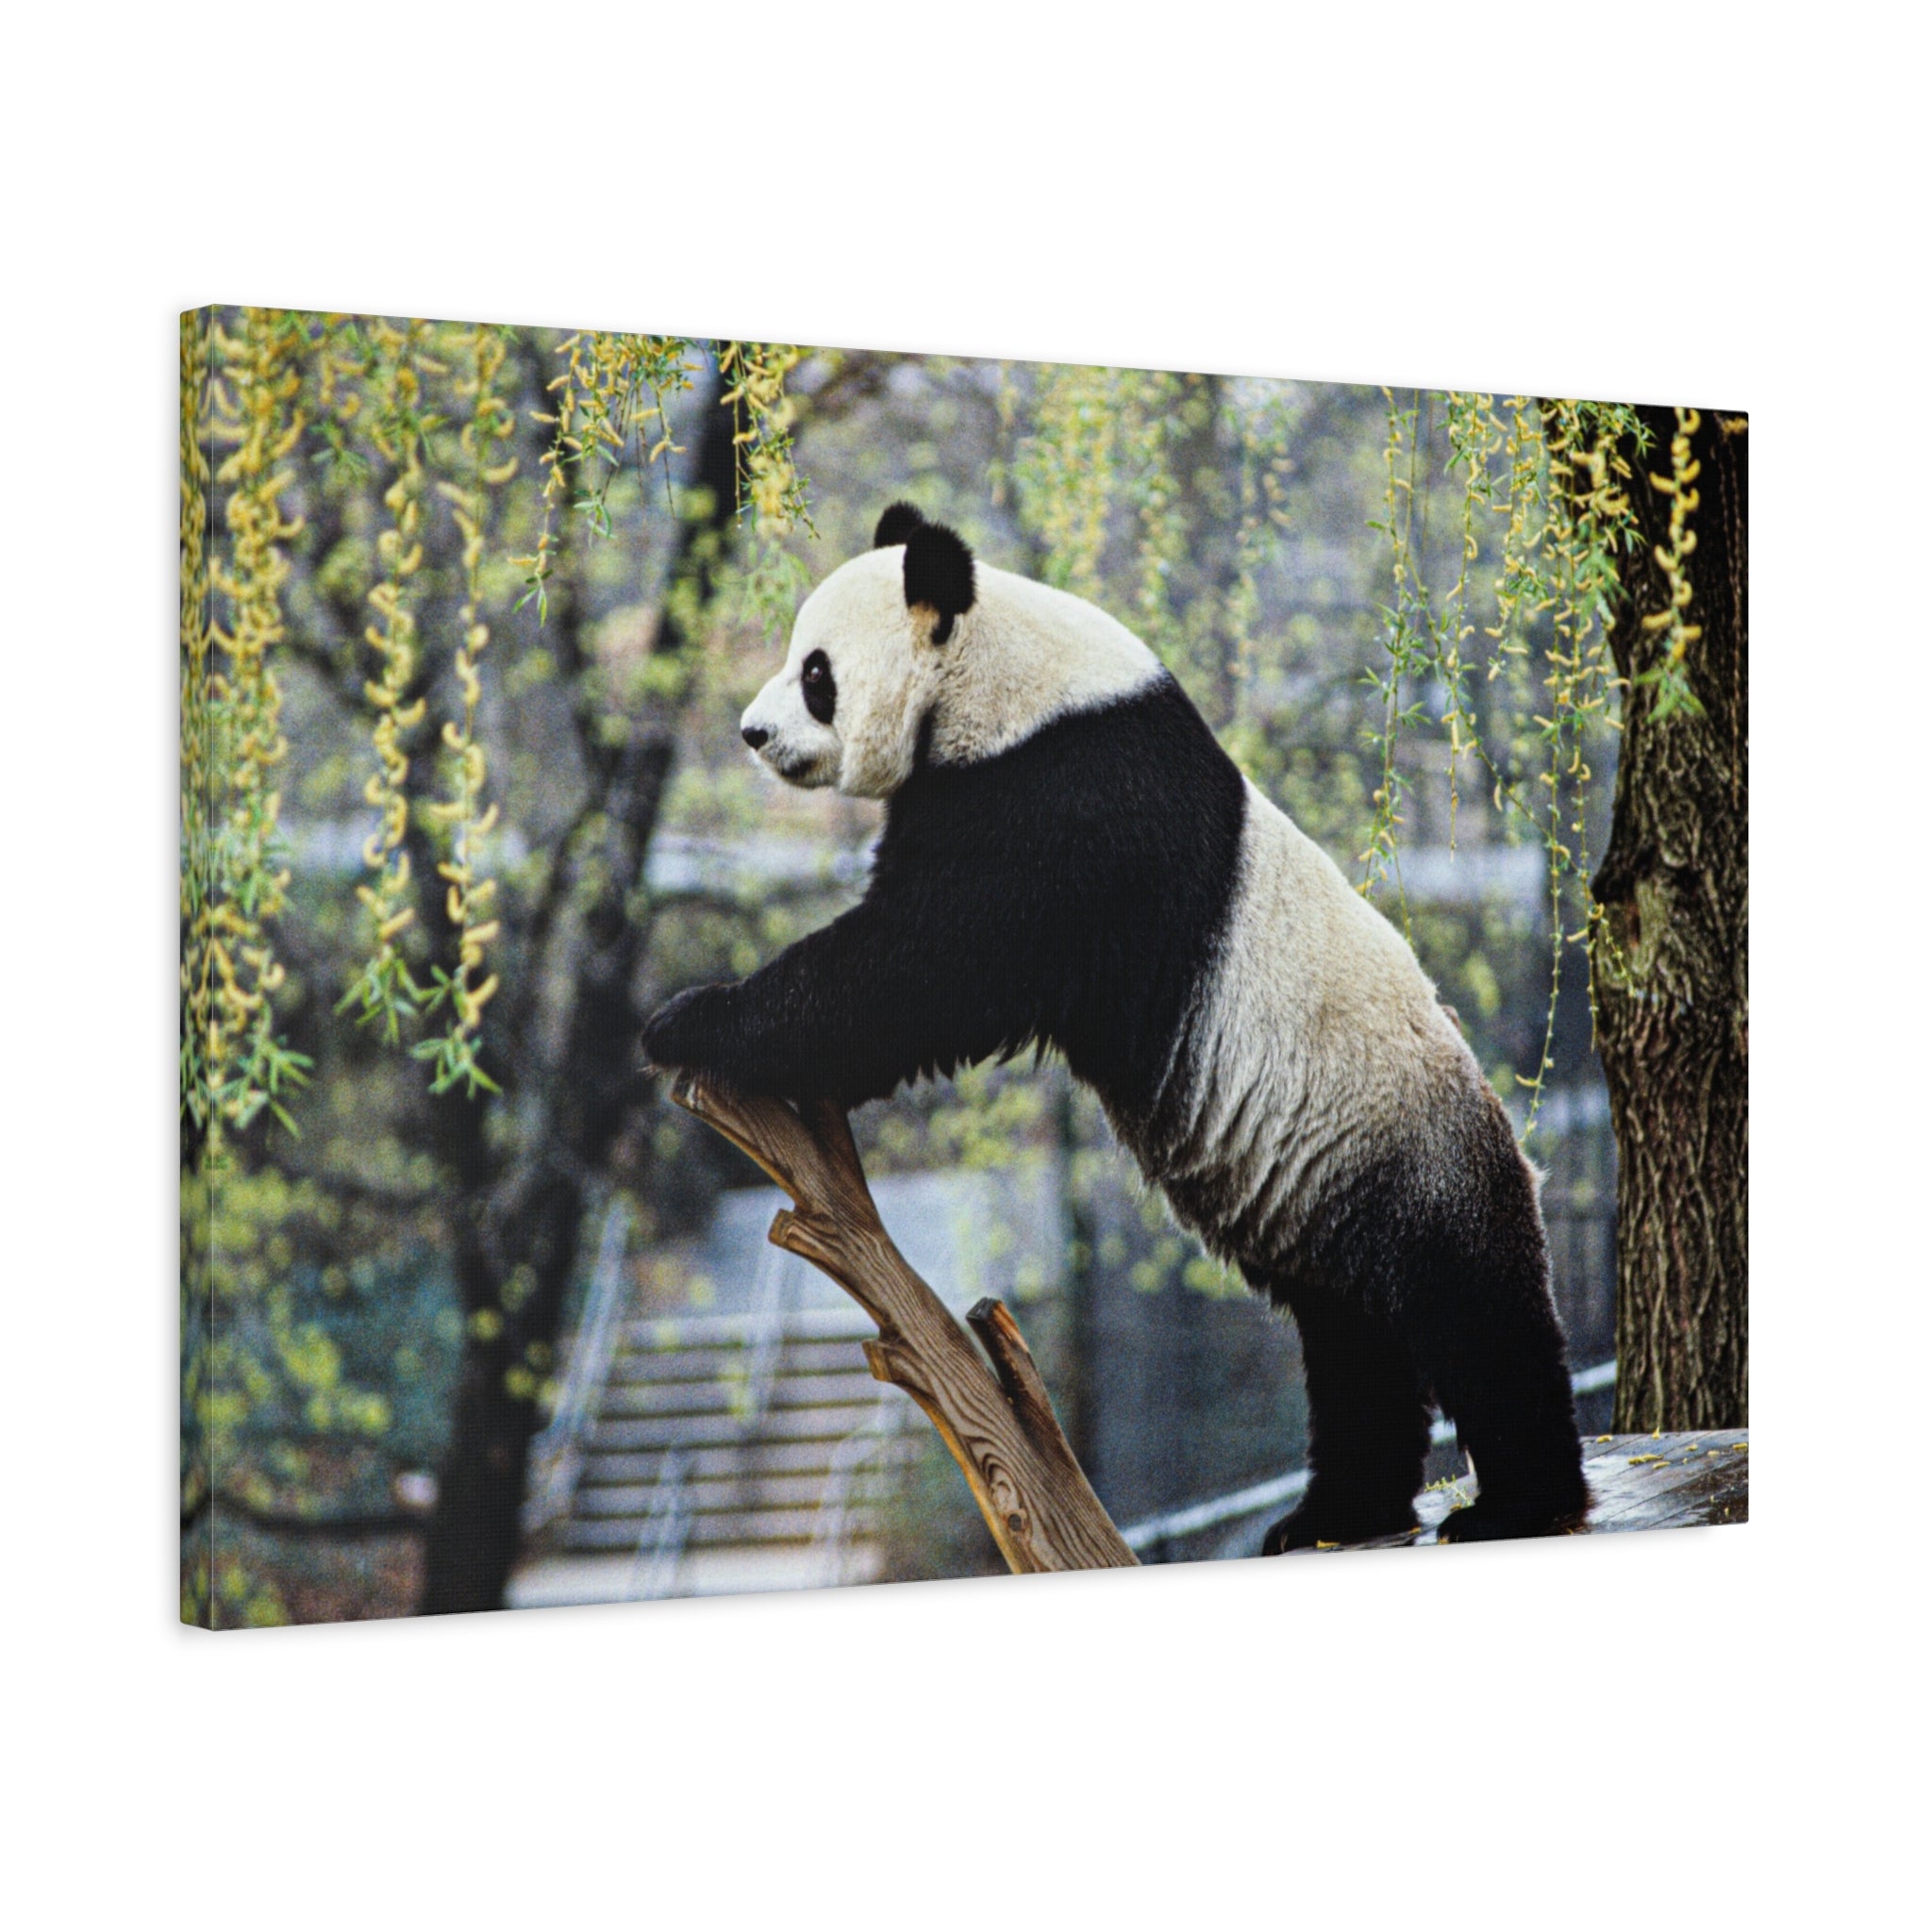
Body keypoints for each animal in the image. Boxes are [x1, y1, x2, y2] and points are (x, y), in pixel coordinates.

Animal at [643, 502, 1589, 1548]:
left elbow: (921, 967)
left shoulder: (1065, 802)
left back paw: (1517, 1502)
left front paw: (693, 1021)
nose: (752, 731)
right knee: (1352, 1343)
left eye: (816, 672)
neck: (1003, 675)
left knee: (1474, 1316)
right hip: (1331, 1191)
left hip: (1412, 1155)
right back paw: (1335, 1511)